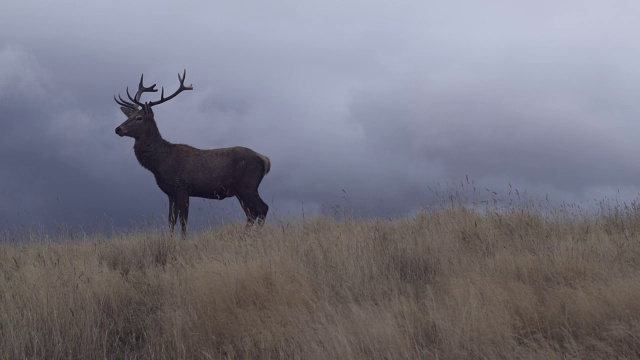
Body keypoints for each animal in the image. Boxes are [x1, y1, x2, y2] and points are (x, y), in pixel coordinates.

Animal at [115, 70, 270, 238]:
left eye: (139, 118)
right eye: (128, 117)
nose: (118, 129)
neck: (161, 163)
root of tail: (265, 160)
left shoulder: (183, 187)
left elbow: (183, 221)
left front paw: (183, 240)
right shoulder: (170, 193)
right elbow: (171, 221)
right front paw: (170, 240)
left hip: (248, 185)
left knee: (262, 209)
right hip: (240, 191)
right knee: (251, 213)